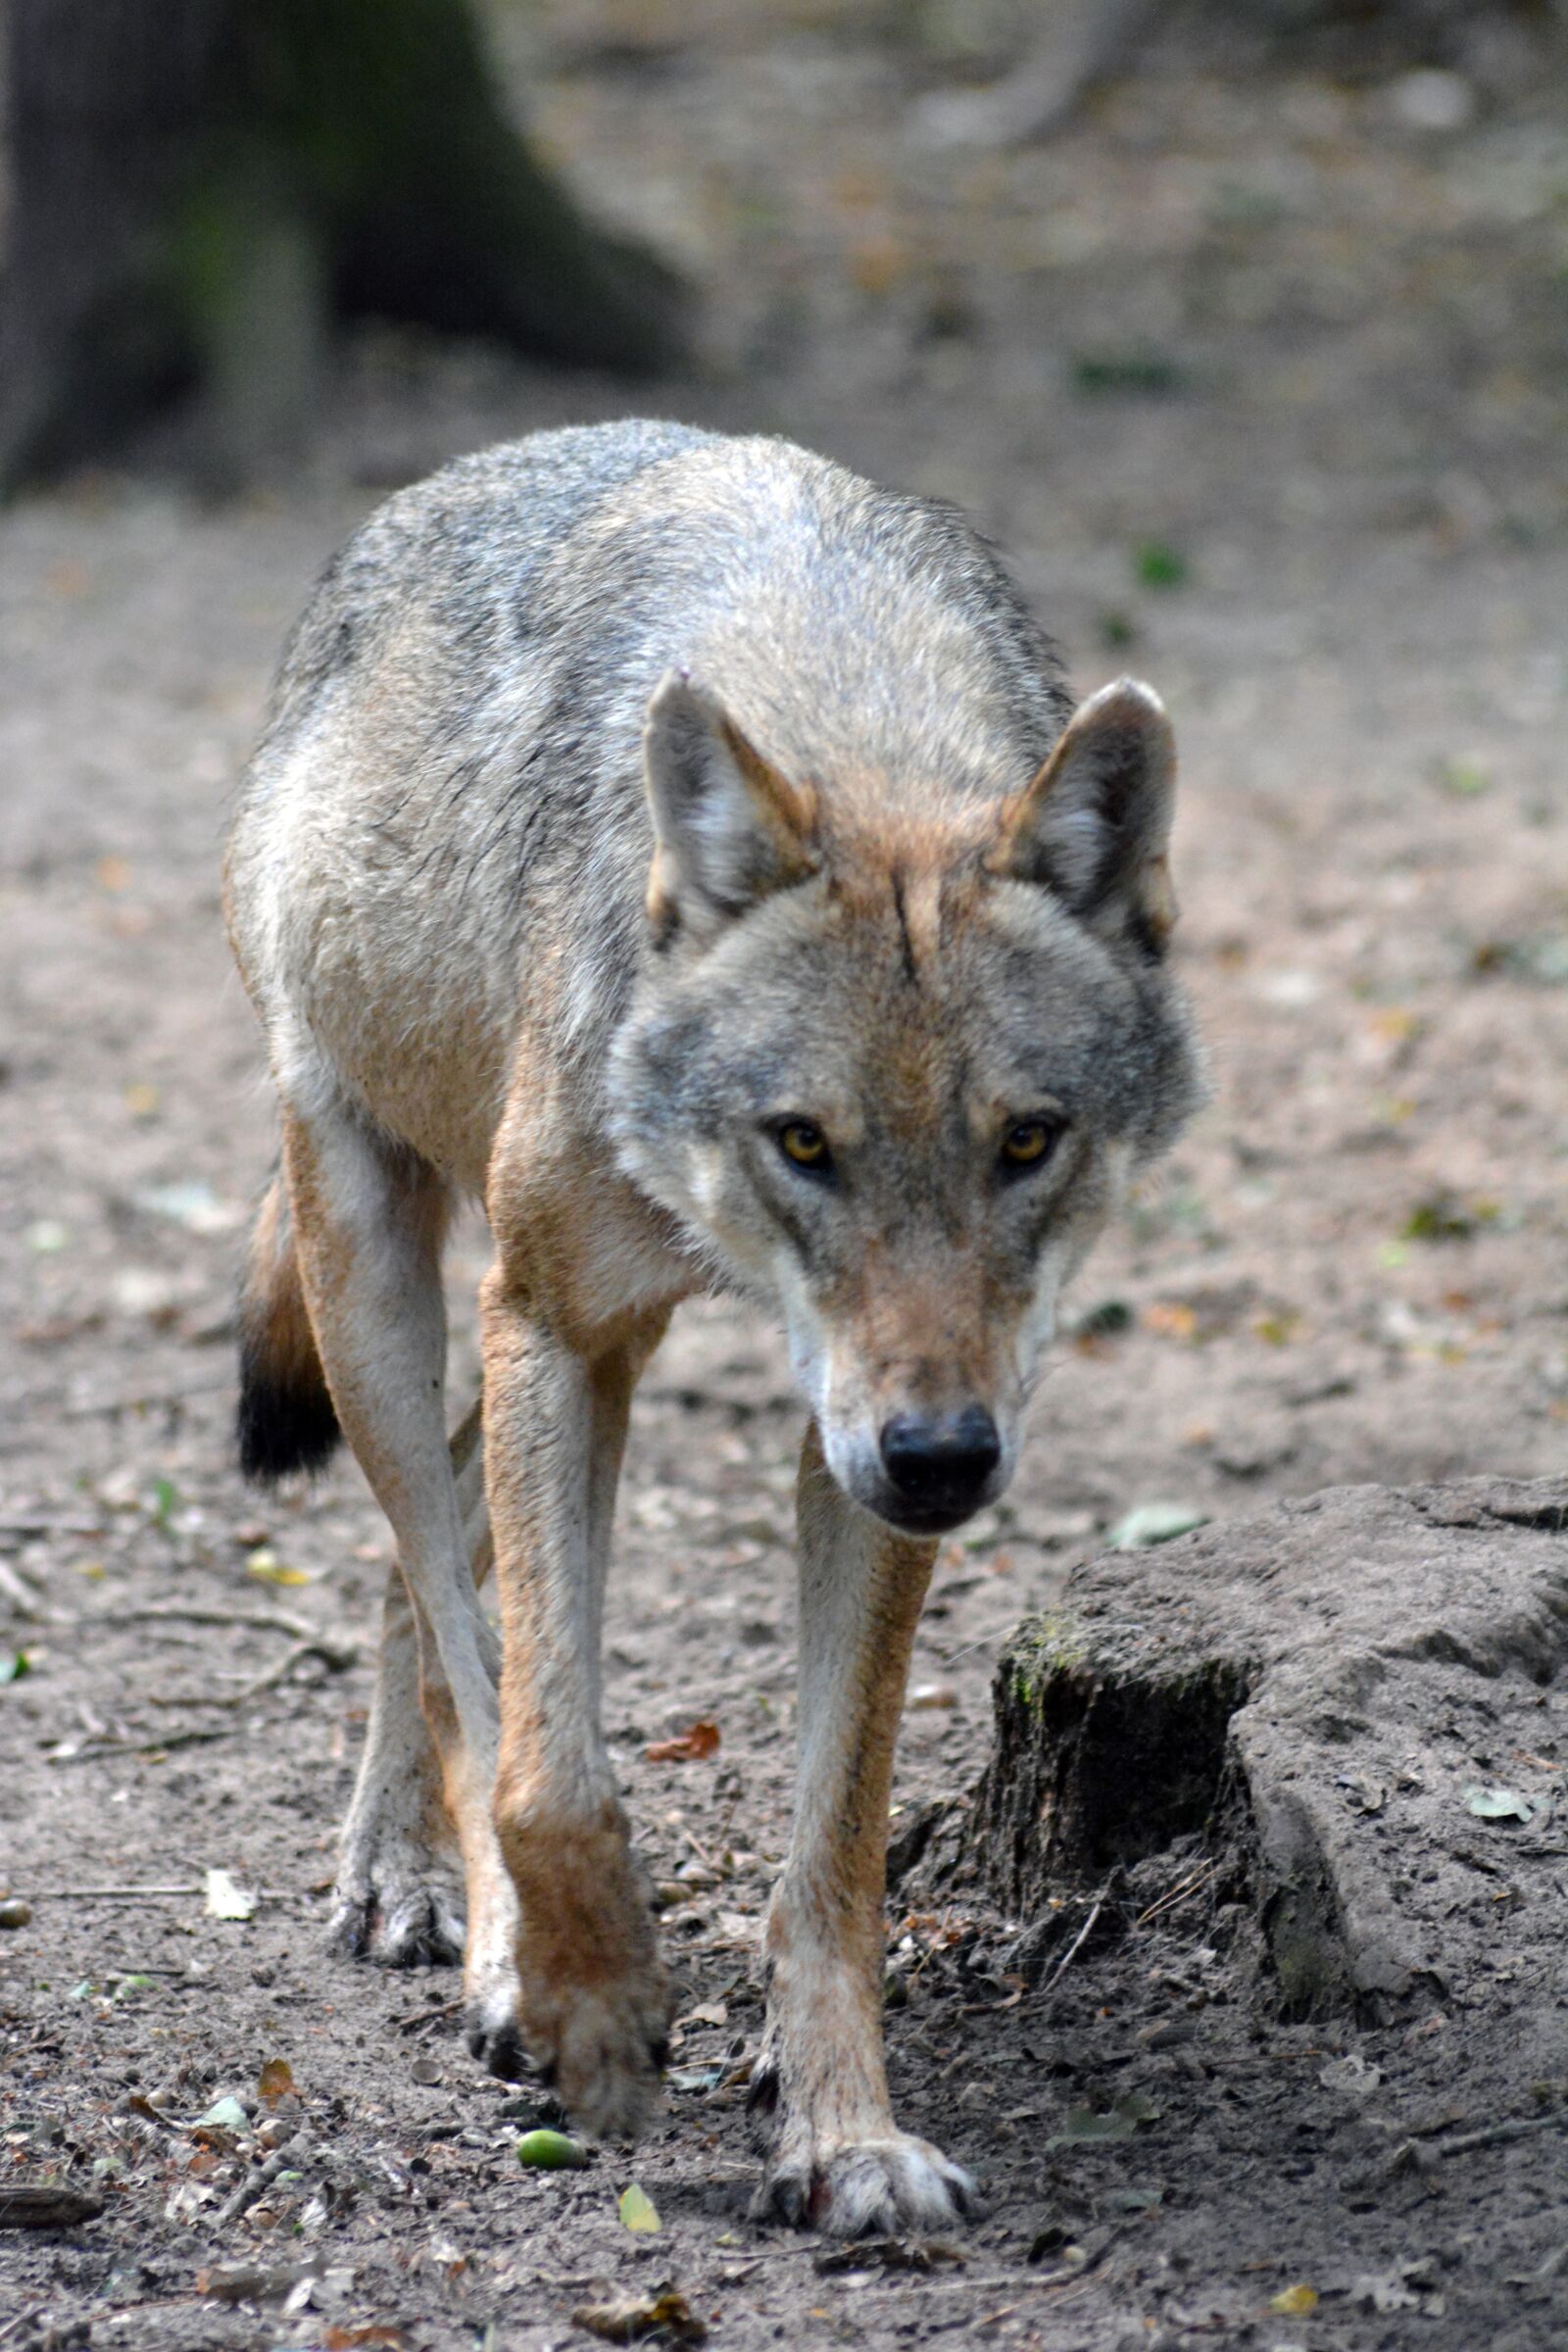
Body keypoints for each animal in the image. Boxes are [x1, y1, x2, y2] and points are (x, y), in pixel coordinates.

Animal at [224, 420, 1202, 2234]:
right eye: (801, 1142)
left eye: (1028, 1142)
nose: (944, 1460)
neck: (847, 704)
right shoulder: (552, 1323)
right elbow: (551, 1767)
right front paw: (589, 2009)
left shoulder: (843, 1443)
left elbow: (834, 1847)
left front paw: (843, 2134)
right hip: (387, 1277)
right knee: (443, 1579)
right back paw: (459, 1930)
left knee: (433, 1560)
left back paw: (409, 1871)